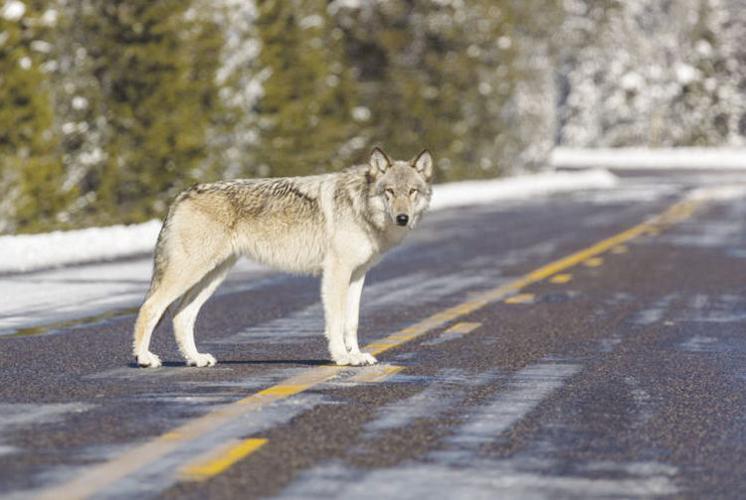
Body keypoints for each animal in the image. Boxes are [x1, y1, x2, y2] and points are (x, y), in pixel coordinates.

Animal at [132, 148, 433, 368]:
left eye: (412, 191)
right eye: (389, 191)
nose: (402, 218)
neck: (361, 207)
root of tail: (181, 195)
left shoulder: (358, 274)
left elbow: (352, 322)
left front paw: (357, 355)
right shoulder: (336, 272)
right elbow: (335, 321)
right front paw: (342, 357)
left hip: (213, 276)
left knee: (181, 316)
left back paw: (196, 359)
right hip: (191, 272)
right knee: (150, 307)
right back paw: (145, 358)